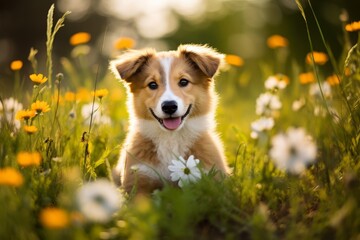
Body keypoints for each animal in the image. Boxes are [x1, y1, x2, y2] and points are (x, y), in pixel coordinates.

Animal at [109, 44, 229, 194]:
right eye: (152, 84)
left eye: (183, 81)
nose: (169, 106)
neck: (171, 138)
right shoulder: (139, 177)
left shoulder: (211, 177)